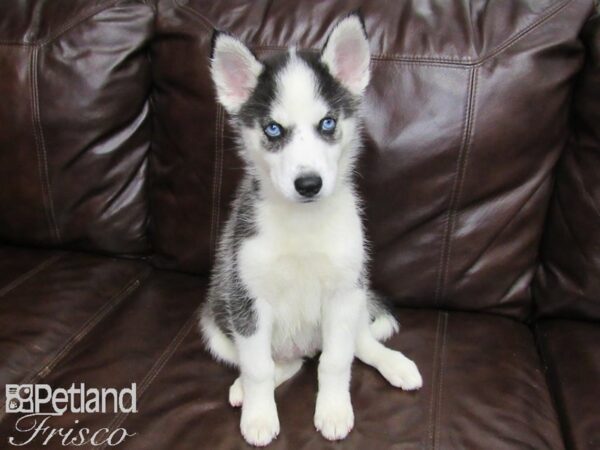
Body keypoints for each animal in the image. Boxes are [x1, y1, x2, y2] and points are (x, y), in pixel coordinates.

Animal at [200, 13, 422, 446]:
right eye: (273, 129)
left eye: (327, 124)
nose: (308, 184)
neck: (302, 224)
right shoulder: (246, 296)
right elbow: (257, 367)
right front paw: (259, 416)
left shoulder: (343, 292)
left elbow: (336, 362)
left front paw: (334, 410)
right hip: (216, 323)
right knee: (284, 364)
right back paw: (245, 388)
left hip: (356, 297)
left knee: (356, 345)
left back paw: (395, 364)